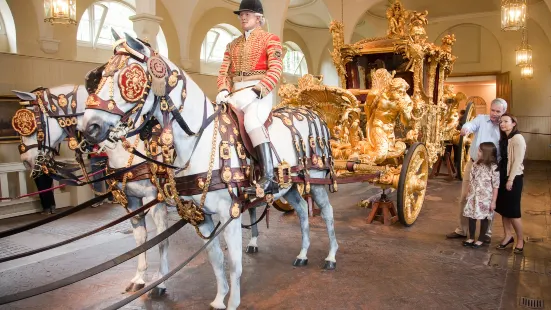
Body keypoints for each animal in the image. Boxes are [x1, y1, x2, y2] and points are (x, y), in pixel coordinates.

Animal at [12, 85, 170, 298]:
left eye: (32, 126)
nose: (26, 161)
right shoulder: (131, 199)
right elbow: (140, 238)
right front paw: (138, 279)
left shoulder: (155, 197)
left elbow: (162, 238)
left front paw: (161, 280)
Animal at [80, 33, 338, 310]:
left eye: (129, 75)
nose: (89, 128)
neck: (198, 142)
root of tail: (311, 113)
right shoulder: (196, 214)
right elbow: (214, 258)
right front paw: (218, 298)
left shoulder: (225, 212)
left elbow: (232, 261)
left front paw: (231, 301)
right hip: (287, 185)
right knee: (300, 210)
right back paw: (302, 254)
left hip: (317, 181)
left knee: (327, 214)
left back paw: (331, 257)